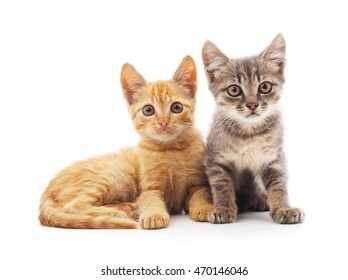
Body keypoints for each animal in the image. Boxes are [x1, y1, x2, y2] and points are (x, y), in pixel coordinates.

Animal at [38, 56, 212, 230]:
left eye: (176, 107)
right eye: (148, 110)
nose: (163, 122)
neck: (171, 148)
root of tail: (48, 189)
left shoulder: (198, 183)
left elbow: (200, 195)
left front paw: (205, 207)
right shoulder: (149, 188)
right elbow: (151, 200)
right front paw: (153, 215)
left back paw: (127, 208)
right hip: (116, 174)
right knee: (71, 205)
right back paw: (116, 213)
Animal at [203, 34, 304, 223]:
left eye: (265, 87)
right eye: (234, 90)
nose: (252, 104)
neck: (249, 133)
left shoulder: (275, 158)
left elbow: (279, 185)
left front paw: (283, 208)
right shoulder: (217, 160)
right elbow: (222, 185)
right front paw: (223, 208)